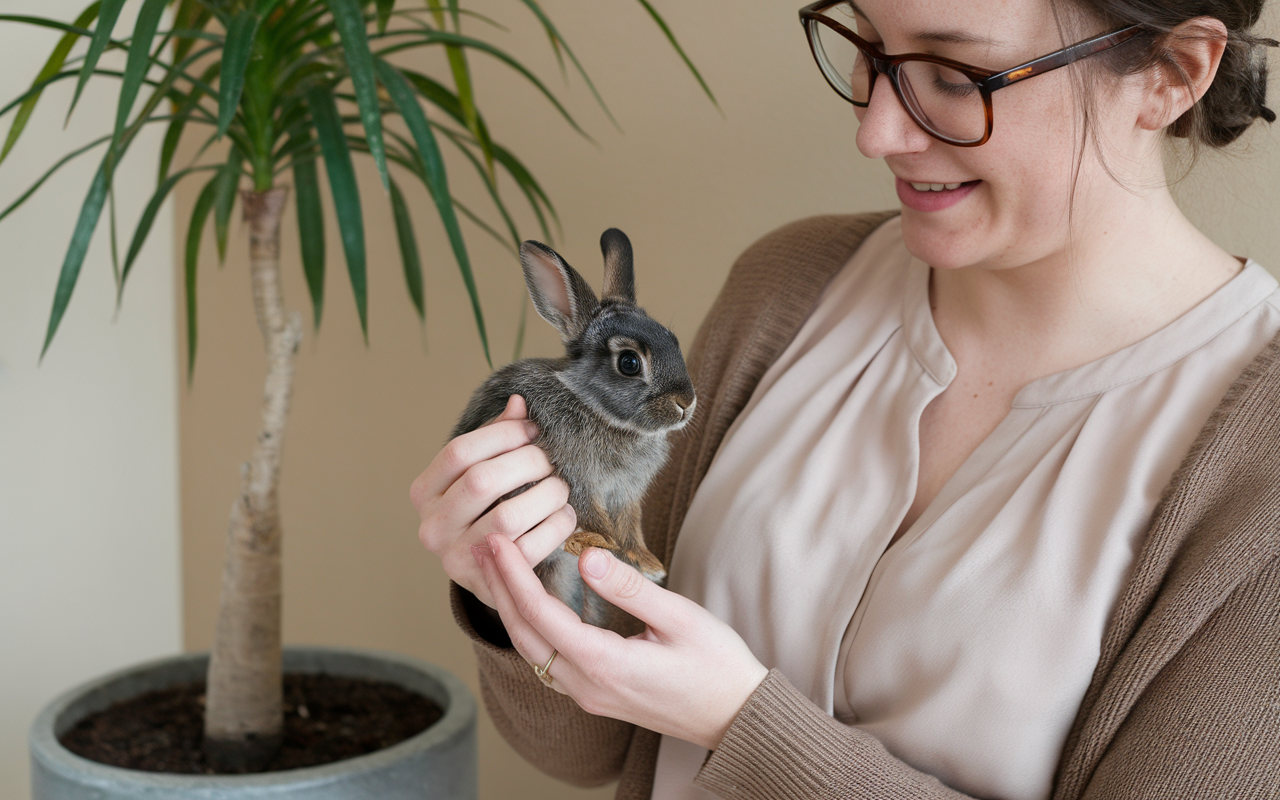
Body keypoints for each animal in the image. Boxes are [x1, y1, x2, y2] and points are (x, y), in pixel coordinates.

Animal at [452, 228, 696, 632]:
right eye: (629, 362)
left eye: (674, 342)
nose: (686, 402)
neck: (599, 410)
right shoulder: (575, 474)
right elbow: (587, 510)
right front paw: (600, 542)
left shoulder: (626, 495)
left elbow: (630, 527)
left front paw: (646, 563)